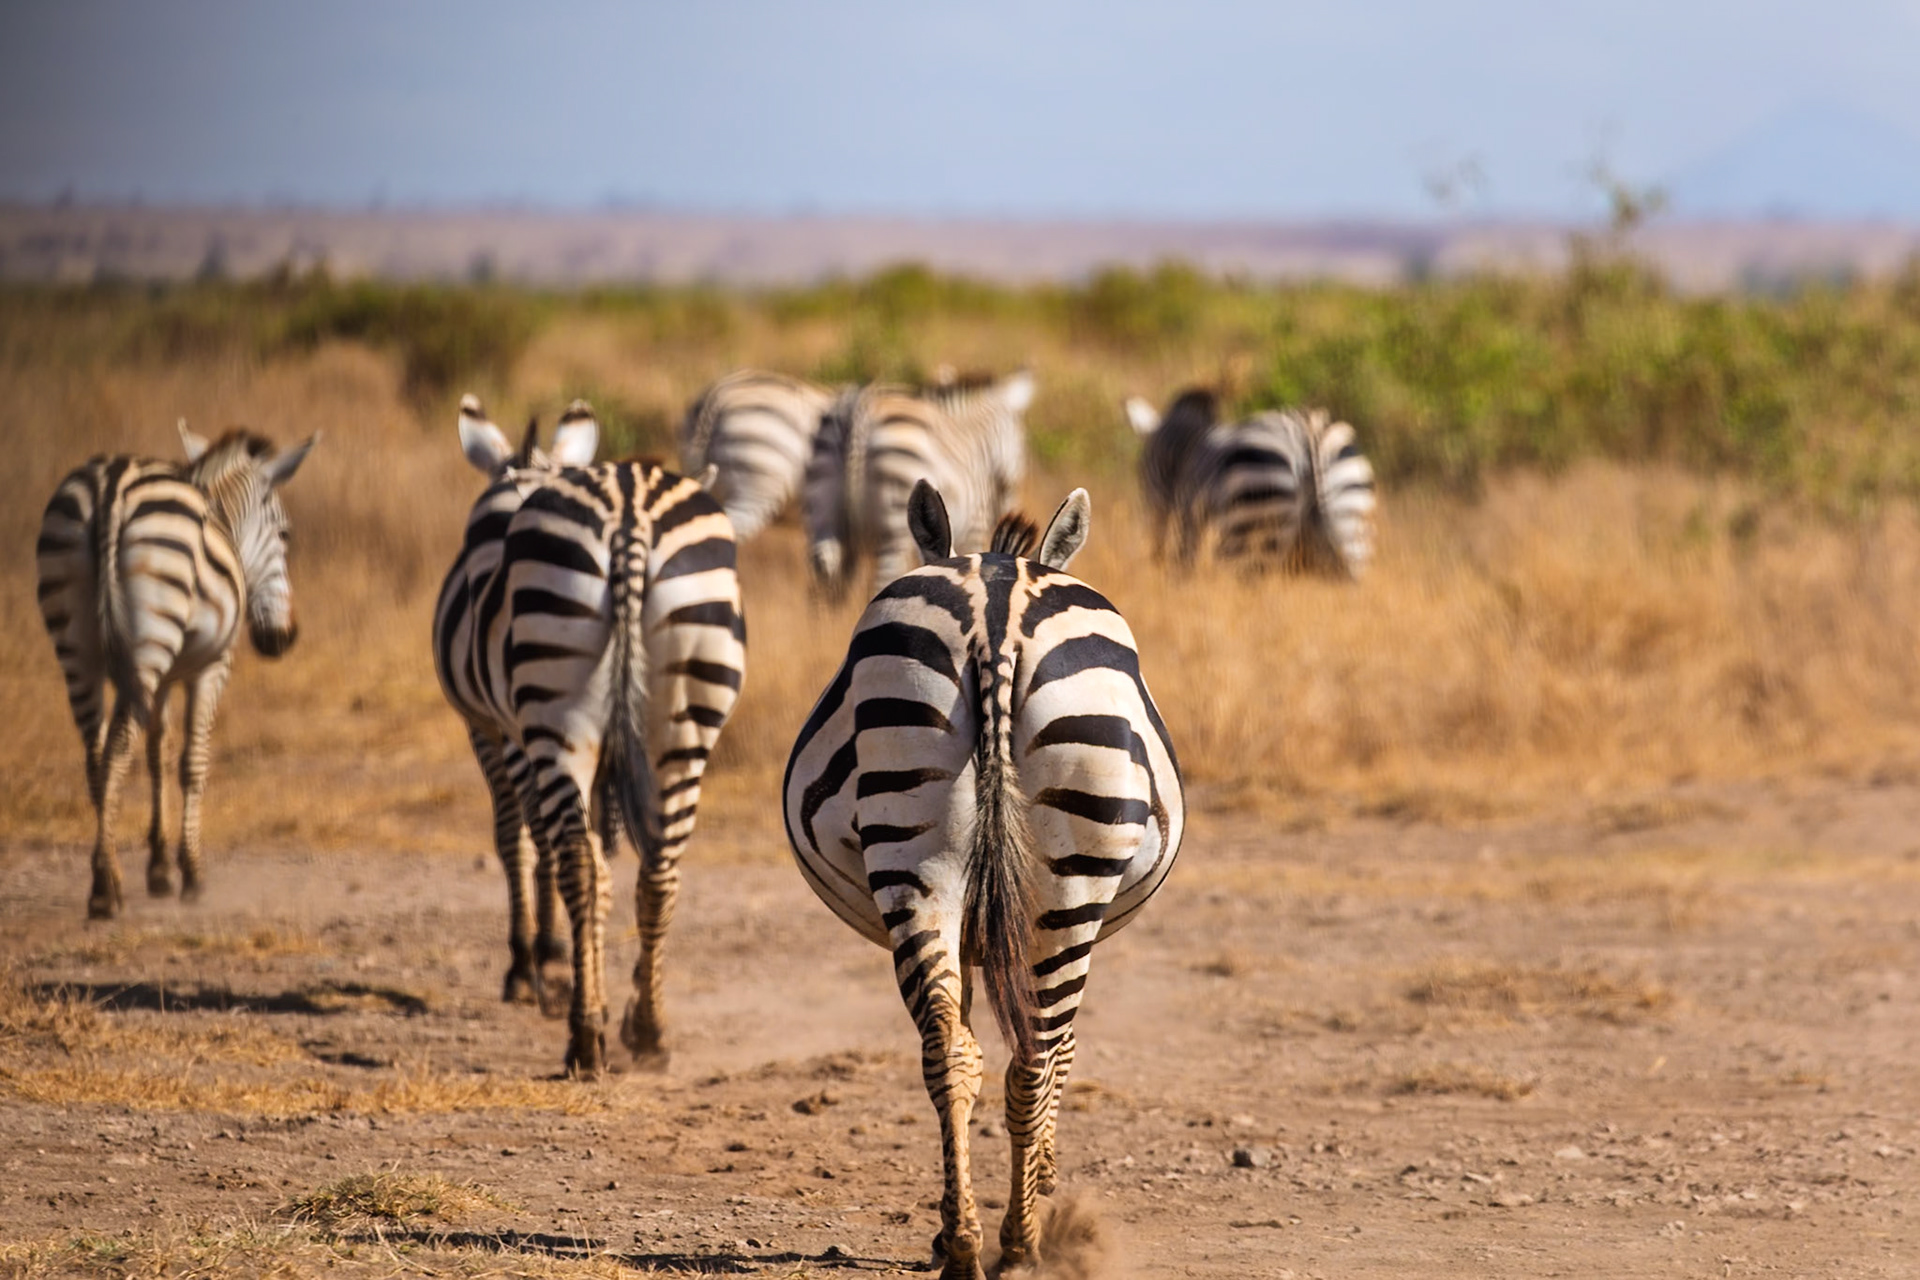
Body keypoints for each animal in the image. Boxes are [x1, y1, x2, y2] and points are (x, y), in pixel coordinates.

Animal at [35, 423, 318, 919]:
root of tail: (111, 485)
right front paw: (190, 872)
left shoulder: (161, 678)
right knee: (115, 750)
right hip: (151, 635)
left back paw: (105, 874)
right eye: (285, 535)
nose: (282, 637)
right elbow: (191, 760)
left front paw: (160, 868)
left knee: (94, 756)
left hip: (79, 645)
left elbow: (157, 755)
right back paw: (105, 889)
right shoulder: (210, 667)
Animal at [783, 480, 1182, 1277]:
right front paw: (1044, 1178)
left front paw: (948, 1224)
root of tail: (995, 619)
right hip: (1067, 887)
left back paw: (966, 1244)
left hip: (919, 857)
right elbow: (1067, 1051)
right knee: (1036, 1055)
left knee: (955, 1051)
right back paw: (1021, 1241)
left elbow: (968, 1024)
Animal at [803, 369, 1033, 600]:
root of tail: (862, 405)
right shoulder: (975, 525)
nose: (1011, 503)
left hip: (823, 503)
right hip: (894, 519)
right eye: (1021, 443)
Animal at [1125, 387, 1376, 578]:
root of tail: (1308, 431)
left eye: (1144, 473)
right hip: (1351, 533)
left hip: (1252, 527)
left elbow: (1185, 564)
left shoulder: (1190, 518)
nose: (1155, 558)